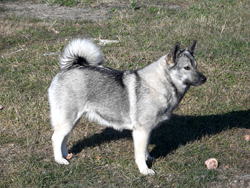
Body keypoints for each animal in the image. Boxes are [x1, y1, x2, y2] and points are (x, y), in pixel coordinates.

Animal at [47, 39, 206, 176]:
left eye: (196, 65)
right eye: (186, 67)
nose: (204, 79)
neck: (158, 85)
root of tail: (70, 67)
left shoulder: (146, 130)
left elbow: (145, 148)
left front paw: (149, 159)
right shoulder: (141, 131)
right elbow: (140, 154)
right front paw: (144, 170)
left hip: (72, 121)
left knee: (64, 139)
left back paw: (66, 155)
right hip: (67, 120)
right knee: (56, 138)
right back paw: (59, 160)